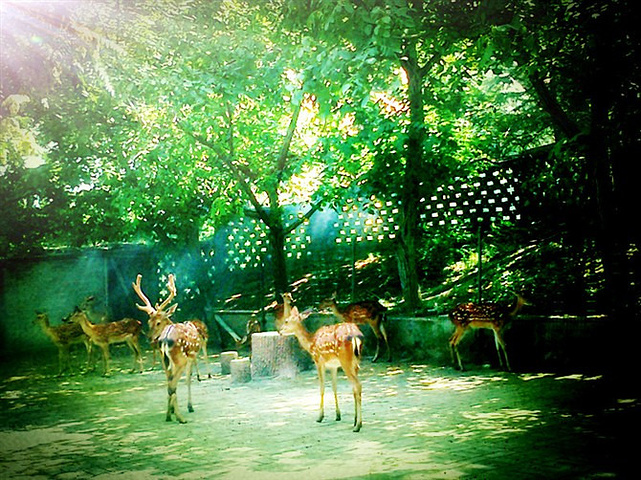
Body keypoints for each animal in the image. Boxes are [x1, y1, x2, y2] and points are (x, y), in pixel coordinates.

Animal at [133, 274, 208, 422]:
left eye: (157, 322)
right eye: (149, 322)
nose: (148, 338)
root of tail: (166, 339)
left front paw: (172, 409)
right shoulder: (191, 356)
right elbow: (188, 379)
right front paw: (190, 407)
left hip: (165, 360)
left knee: (169, 383)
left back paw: (169, 415)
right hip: (179, 359)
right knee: (172, 384)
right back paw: (180, 418)